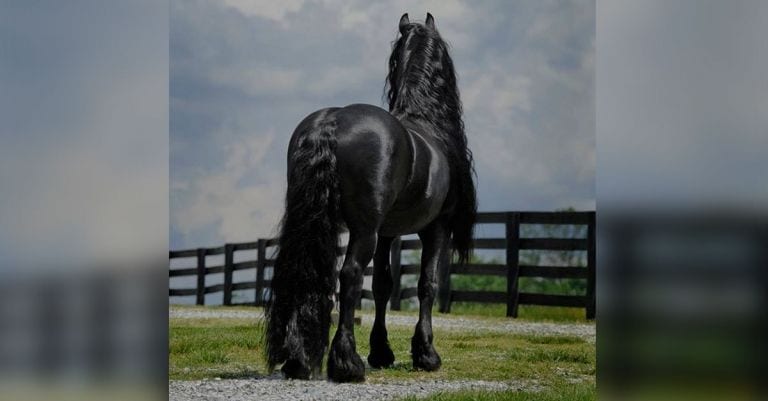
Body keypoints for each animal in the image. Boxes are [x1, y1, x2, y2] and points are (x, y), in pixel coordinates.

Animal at [265, 12, 476, 383]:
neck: (427, 123)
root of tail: (331, 121)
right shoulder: (436, 228)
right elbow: (427, 284)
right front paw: (426, 354)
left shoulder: (387, 233)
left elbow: (382, 285)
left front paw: (382, 352)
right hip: (364, 231)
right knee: (349, 275)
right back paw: (346, 363)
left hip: (317, 222)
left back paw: (298, 360)